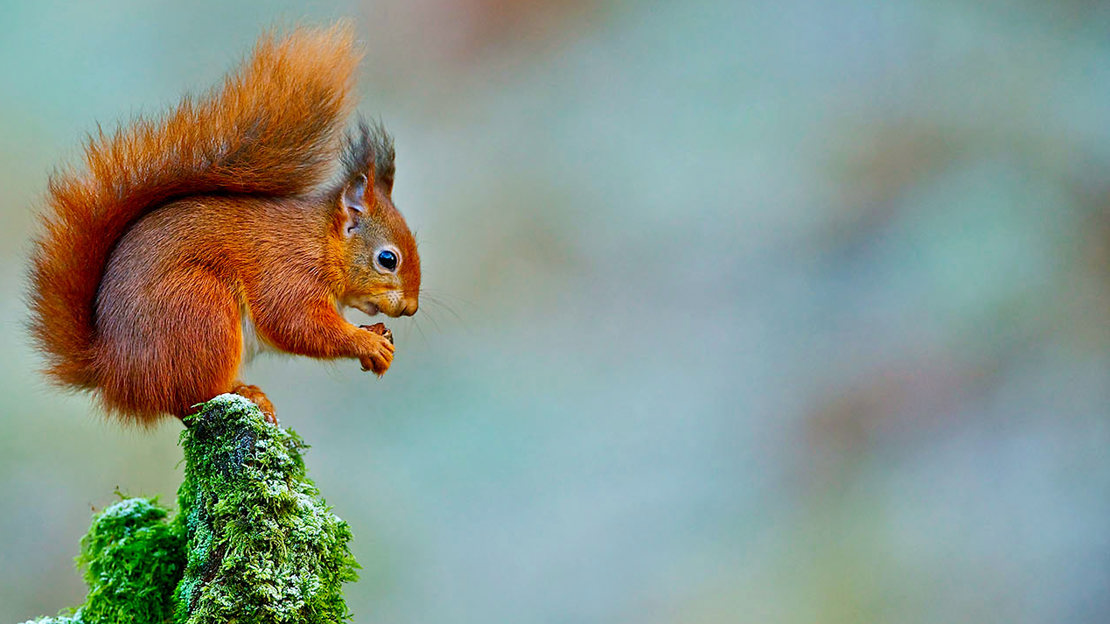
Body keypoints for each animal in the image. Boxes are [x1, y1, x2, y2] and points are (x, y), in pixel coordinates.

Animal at [27, 23, 420, 426]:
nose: (411, 308)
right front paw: (368, 343)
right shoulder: (289, 274)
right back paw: (244, 393)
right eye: (388, 259)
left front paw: (377, 334)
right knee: (190, 399)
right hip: (202, 309)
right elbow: (297, 324)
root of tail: (112, 372)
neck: (322, 243)